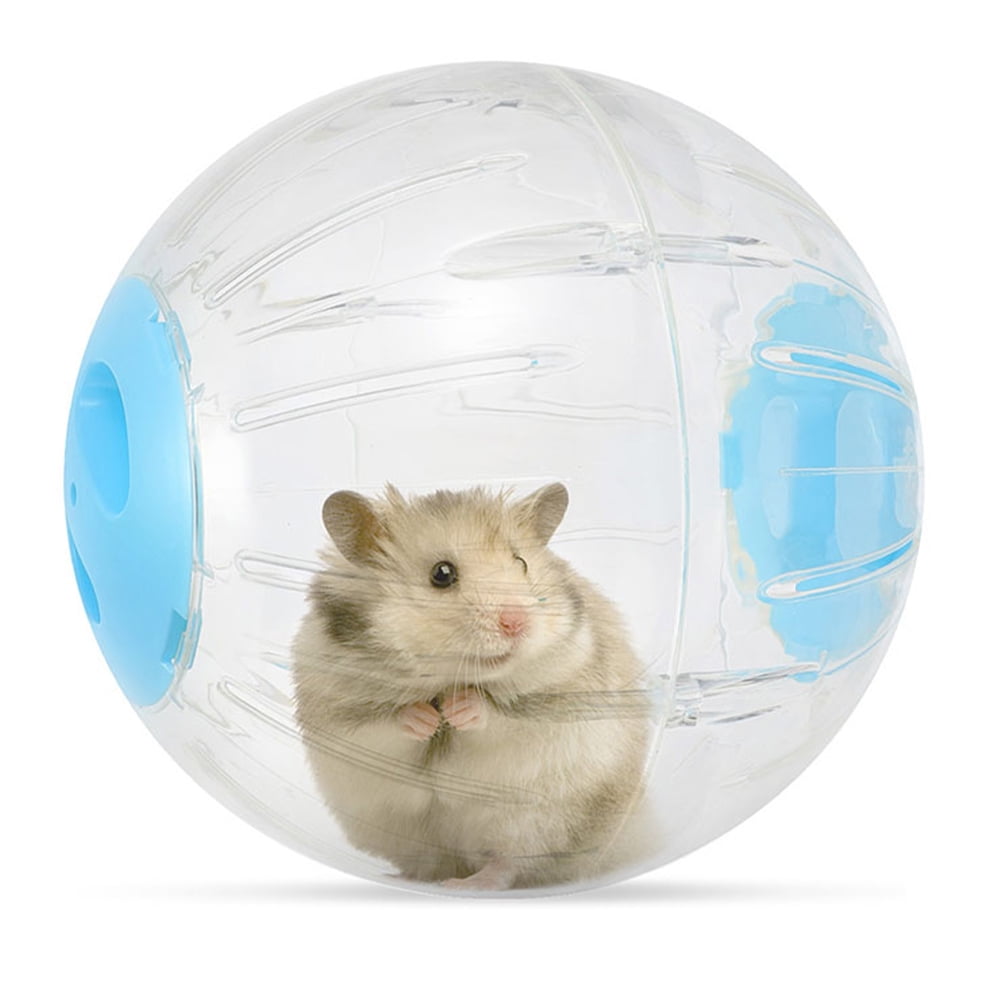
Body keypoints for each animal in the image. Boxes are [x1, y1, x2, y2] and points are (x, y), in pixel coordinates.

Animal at [291, 482, 653, 891]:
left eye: (521, 563)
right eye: (442, 573)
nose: (517, 622)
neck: (450, 678)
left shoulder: (556, 704)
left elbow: (500, 718)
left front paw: (457, 709)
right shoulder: (339, 717)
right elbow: (385, 727)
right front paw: (427, 718)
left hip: (538, 823)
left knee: (508, 864)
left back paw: (466, 884)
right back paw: (416, 877)